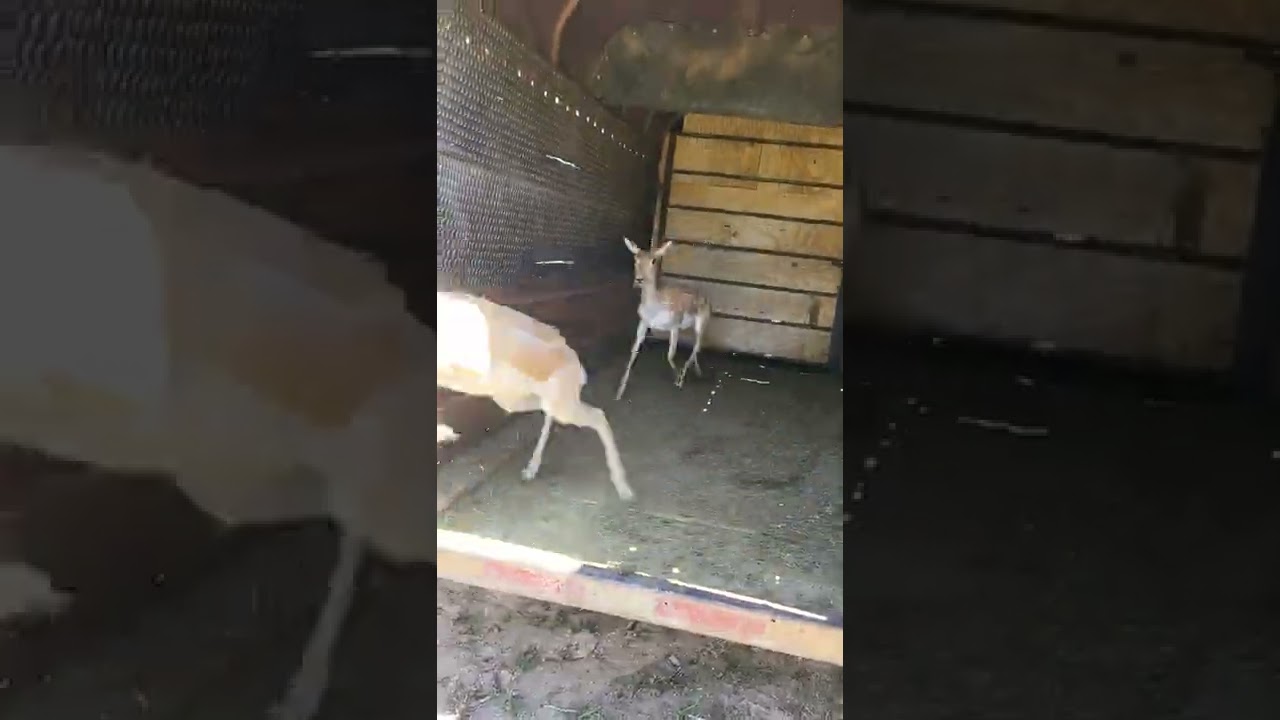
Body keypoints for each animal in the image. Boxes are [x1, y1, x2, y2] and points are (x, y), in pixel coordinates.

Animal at [437, 291, 633, 501]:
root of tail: (577, 364)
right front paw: (446, 434)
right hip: (520, 400)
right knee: (552, 415)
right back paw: (530, 469)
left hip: (557, 406)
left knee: (598, 415)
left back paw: (624, 488)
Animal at [615, 237, 712, 400]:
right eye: (636, 259)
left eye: (654, 260)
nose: (639, 279)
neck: (655, 310)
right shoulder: (643, 323)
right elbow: (633, 352)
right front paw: (619, 392)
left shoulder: (675, 325)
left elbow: (670, 355)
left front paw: (677, 378)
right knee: (696, 346)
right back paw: (697, 372)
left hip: (702, 322)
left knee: (698, 345)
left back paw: (683, 377)